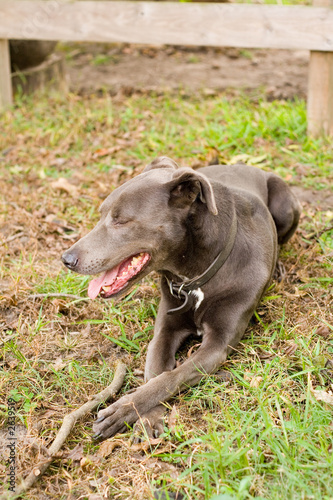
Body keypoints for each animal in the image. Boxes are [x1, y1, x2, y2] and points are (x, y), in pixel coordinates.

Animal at [61, 156, 300, 438]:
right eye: (101, 215)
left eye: (121, 221)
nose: (66, 259)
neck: (195, 278)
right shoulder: (165, 331)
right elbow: (156, 374)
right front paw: (147, 415)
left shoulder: (217, 344)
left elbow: (172, 377)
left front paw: (123, 410)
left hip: (287, 206)